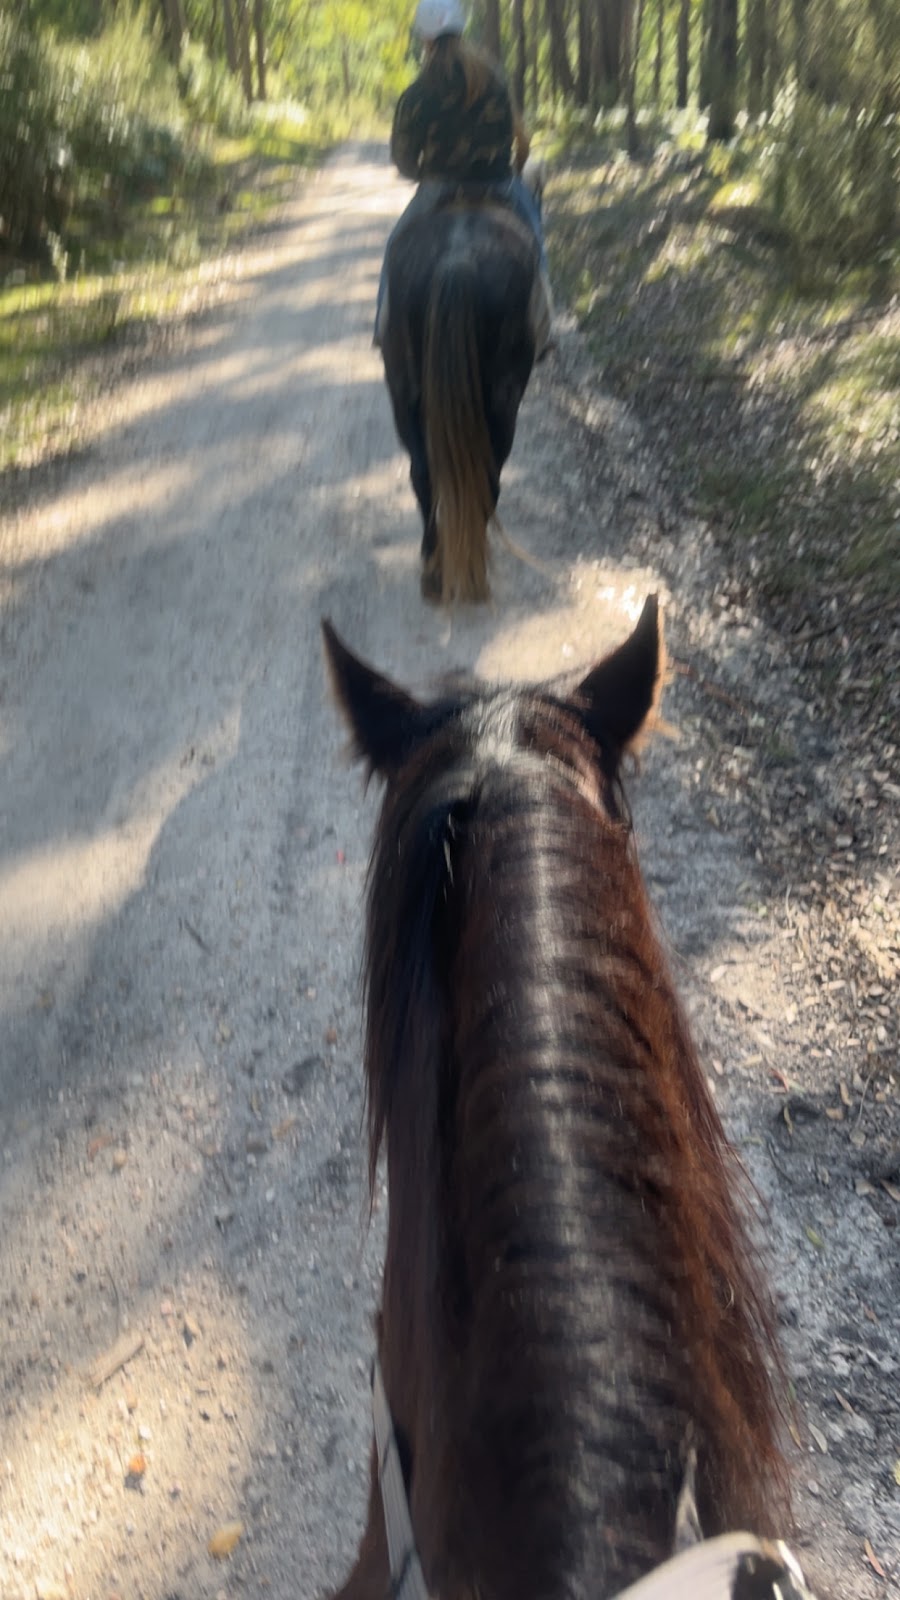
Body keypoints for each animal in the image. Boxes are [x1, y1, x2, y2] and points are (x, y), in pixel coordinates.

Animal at [380, 201, 543, 605]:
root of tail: (459, 257)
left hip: (402, 390)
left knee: (421, 474)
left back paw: (432, 565)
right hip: (503, 398)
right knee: (490, 474)